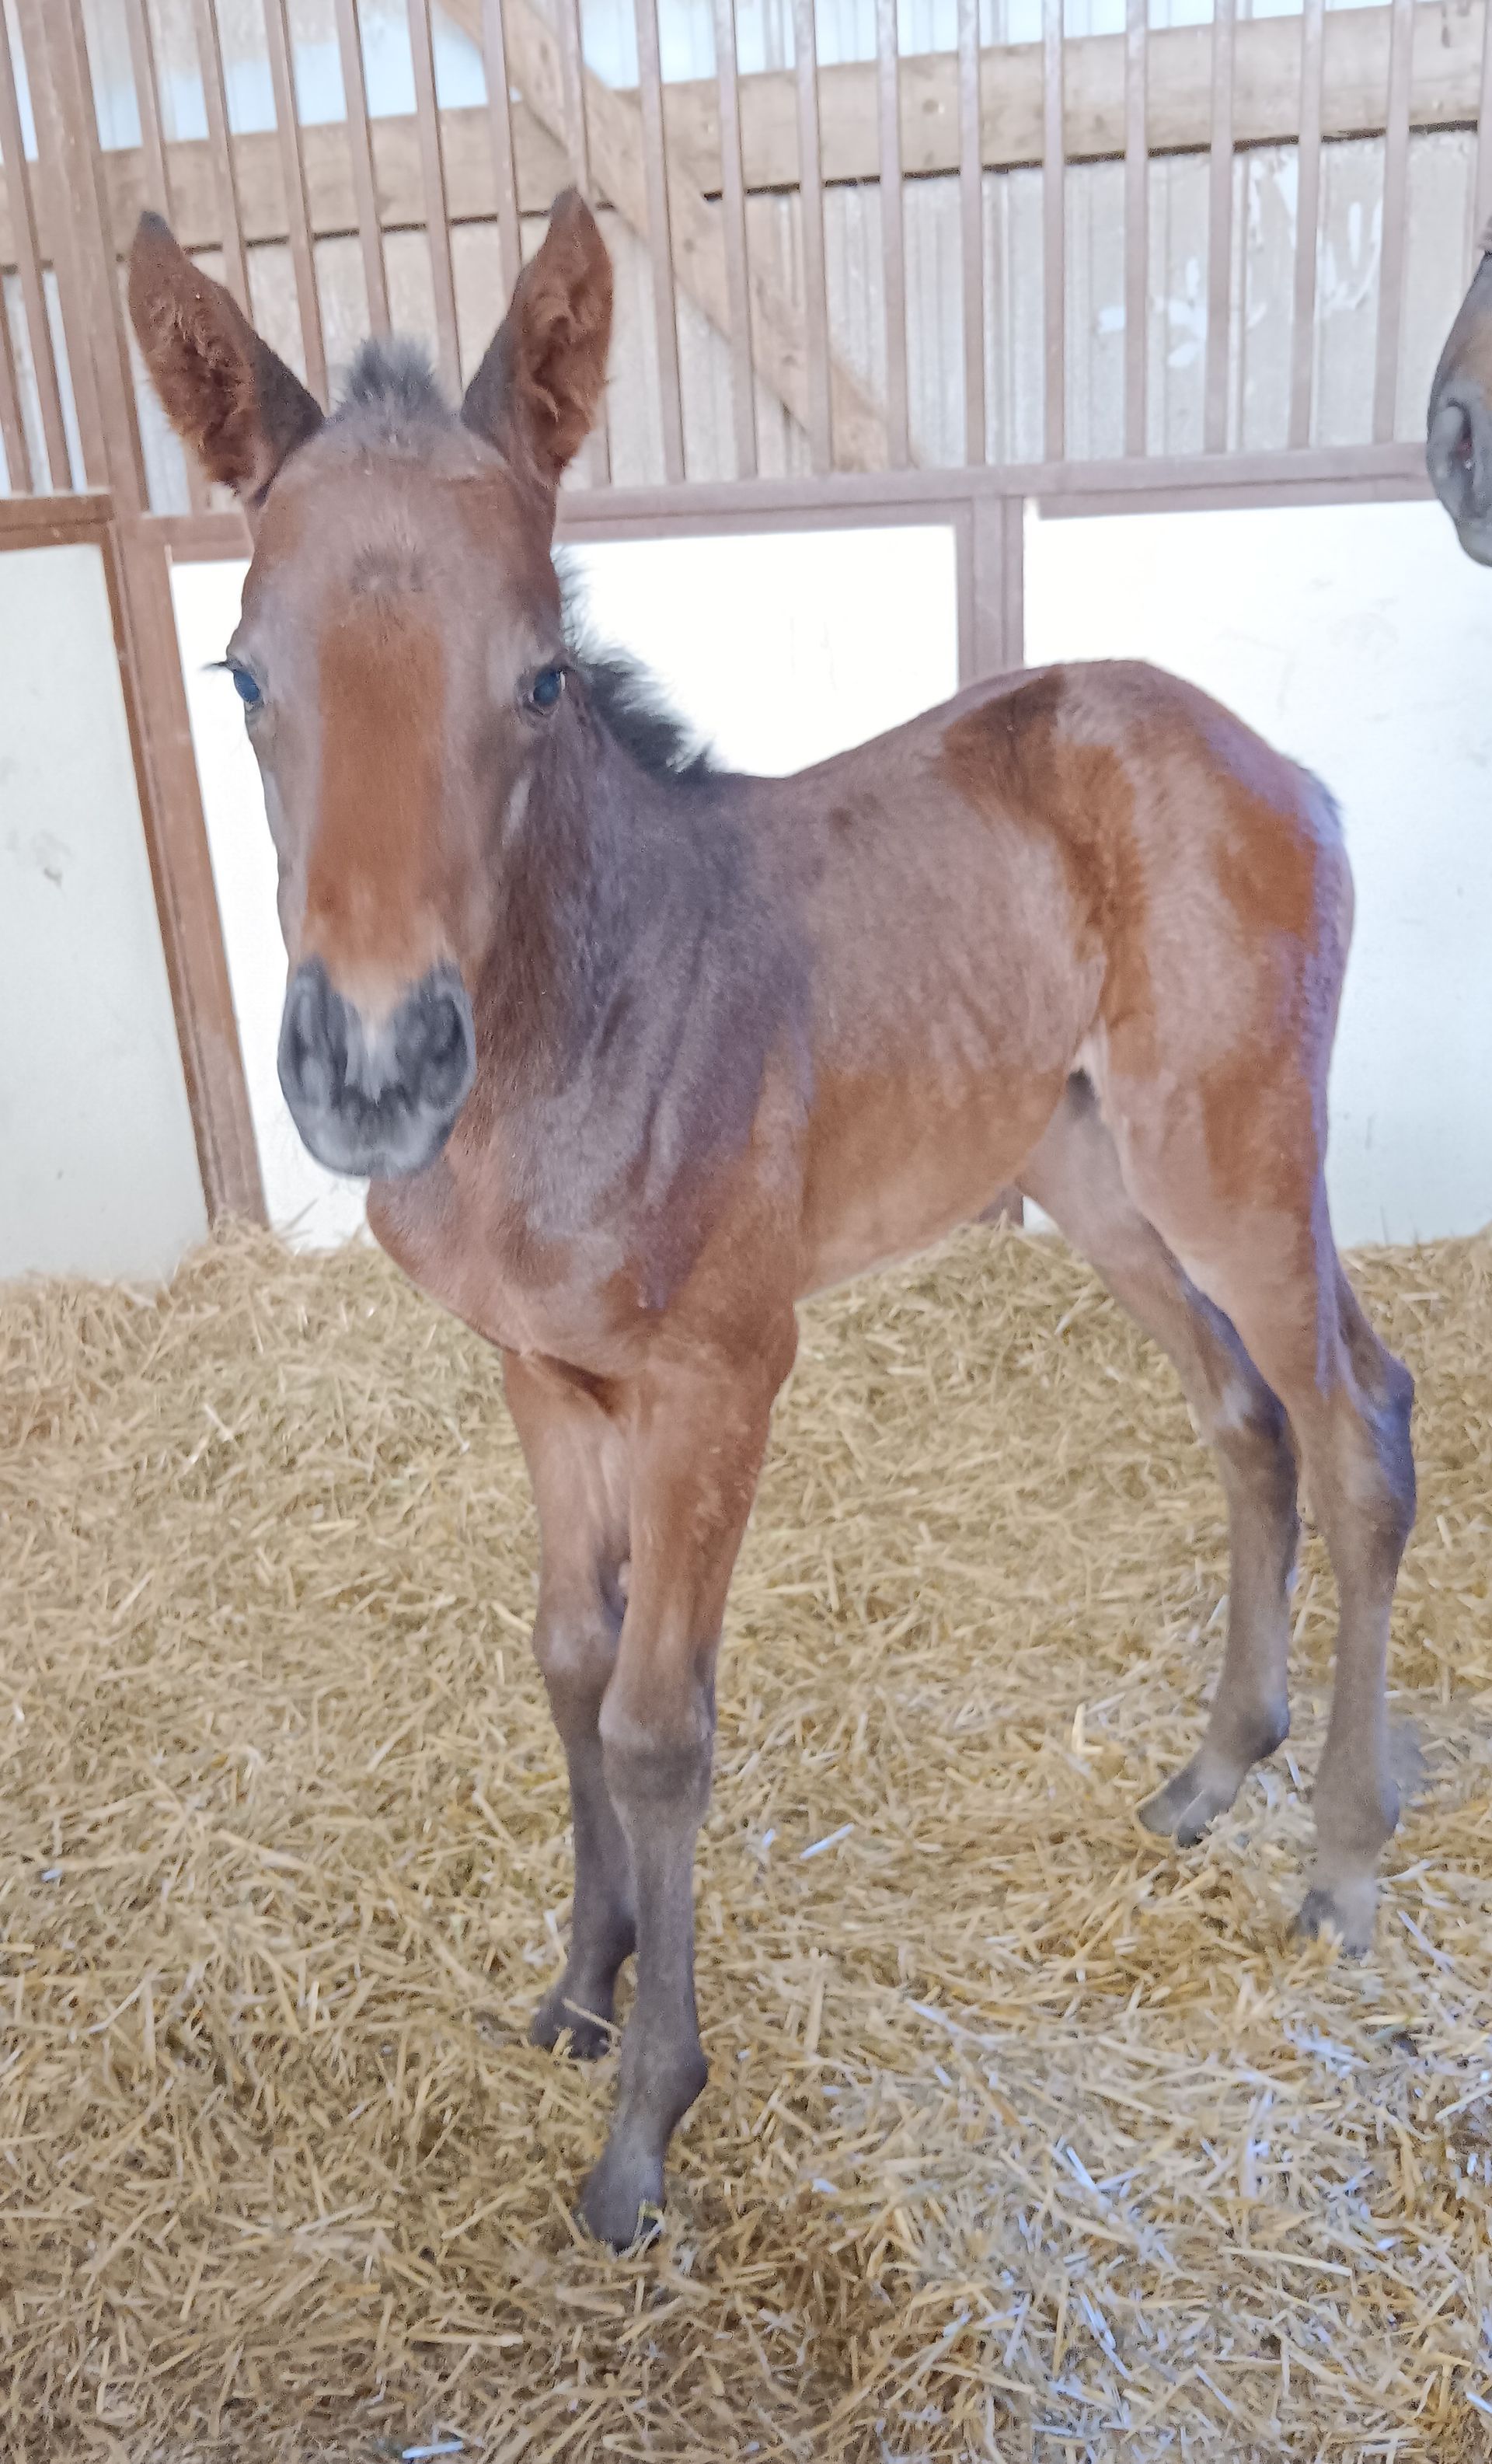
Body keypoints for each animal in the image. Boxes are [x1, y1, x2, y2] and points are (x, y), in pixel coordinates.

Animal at [128, 190, 1415, 2251]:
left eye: (543, 677)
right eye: (243, 674)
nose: (375, 1063)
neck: (581, 1017)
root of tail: (1265, 758)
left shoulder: (726, 1371)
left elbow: (663, 1719)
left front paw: (647, 2122)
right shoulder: (543, 1374)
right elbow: (567, 1660)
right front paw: (577, 1987)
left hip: (1229, 1154)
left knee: (1357, 1416)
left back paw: (1345, 1864)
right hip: (1093, 1174)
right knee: (1244, 1419)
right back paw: (1209, 1775)